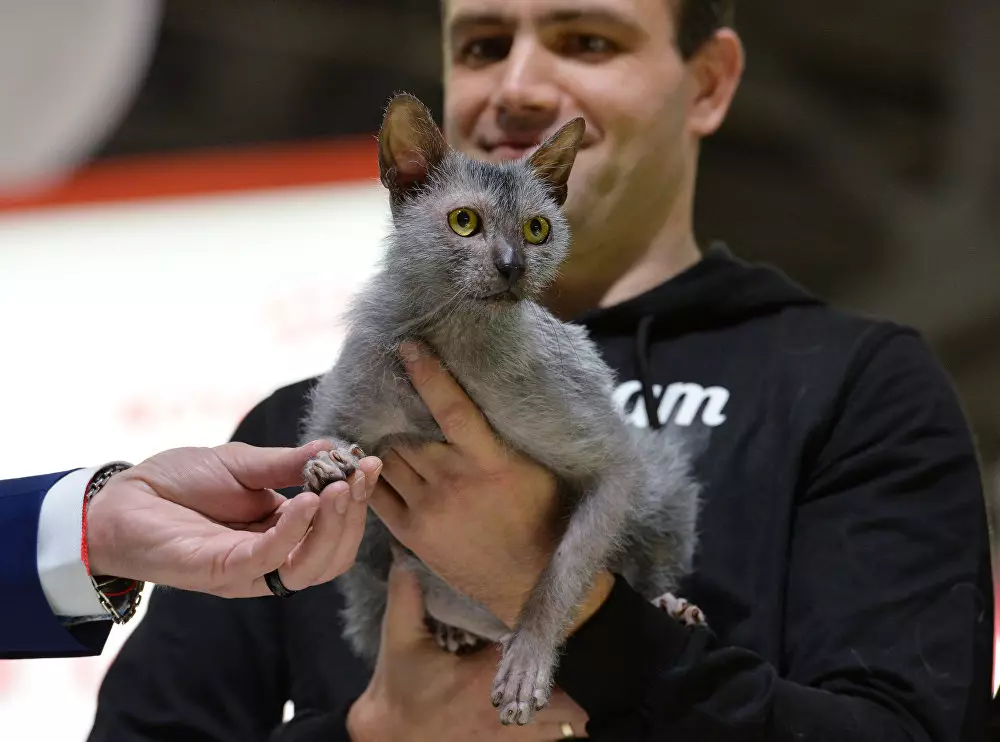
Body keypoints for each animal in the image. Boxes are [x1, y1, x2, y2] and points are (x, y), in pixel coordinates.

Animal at [300, 91, 700, 728]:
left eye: (538, 229)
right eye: (464, 221)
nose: (514, 264)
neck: (456, 339)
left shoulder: (615, 461)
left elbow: (564, 570)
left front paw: (528, 662)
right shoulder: (346, 399)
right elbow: (321, 440)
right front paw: (324, 465)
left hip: (662, 484)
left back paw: (669, 604)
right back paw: (452, 629)